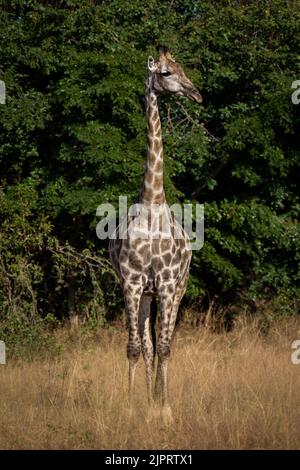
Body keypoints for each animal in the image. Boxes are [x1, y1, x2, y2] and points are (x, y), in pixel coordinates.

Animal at [109, 46, 203, 422]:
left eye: (182, 68)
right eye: (165, 73)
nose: (196, 93)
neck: (152, 204)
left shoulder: (165, 282)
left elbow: (164, 347)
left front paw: (165, 410)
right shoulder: (133, 283)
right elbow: (135, 348)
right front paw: (133, 406)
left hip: (179, 288)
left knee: (166, 344)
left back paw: (160, 400)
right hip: (148, 294)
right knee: (147, 346)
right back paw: (148, 400)